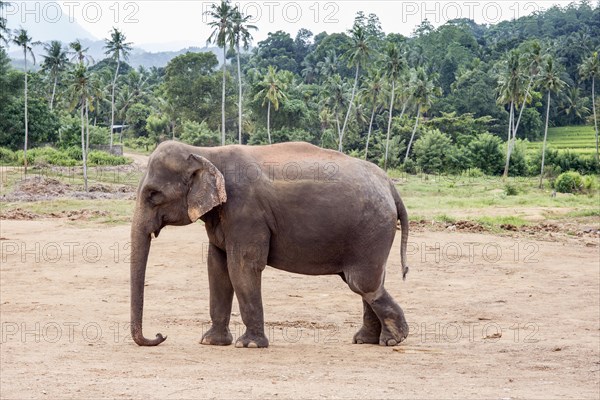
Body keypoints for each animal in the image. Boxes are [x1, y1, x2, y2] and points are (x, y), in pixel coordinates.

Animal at [130, 141, 412, 346]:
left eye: (154, 195)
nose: (160, 336)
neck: (206, 152)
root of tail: (390, 185)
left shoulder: (246, 212)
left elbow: (242, 268)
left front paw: (249, 345)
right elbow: (217, 268)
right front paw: (211, 342)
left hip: (371, 229)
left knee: (362, 283)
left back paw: (394, 340)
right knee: (367, 283)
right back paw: (367, 340)